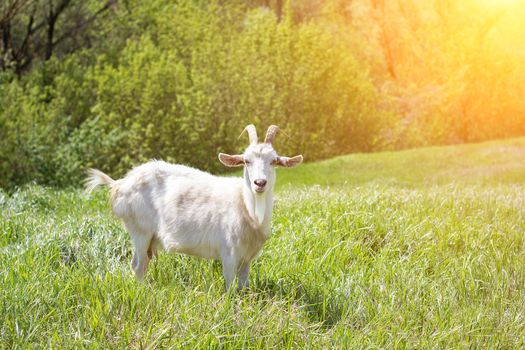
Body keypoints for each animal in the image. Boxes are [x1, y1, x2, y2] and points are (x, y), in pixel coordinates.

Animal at [84, 125, 300, 290]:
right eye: (246, 161)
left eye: (274, 161)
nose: (259, 183)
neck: (245, 207)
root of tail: (120, 184)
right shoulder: (229, 252)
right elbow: (230, 285)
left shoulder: (247, 256)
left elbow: (243, 285)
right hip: (140, 229)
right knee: (137, 264)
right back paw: (141, 290)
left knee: (144, 263)